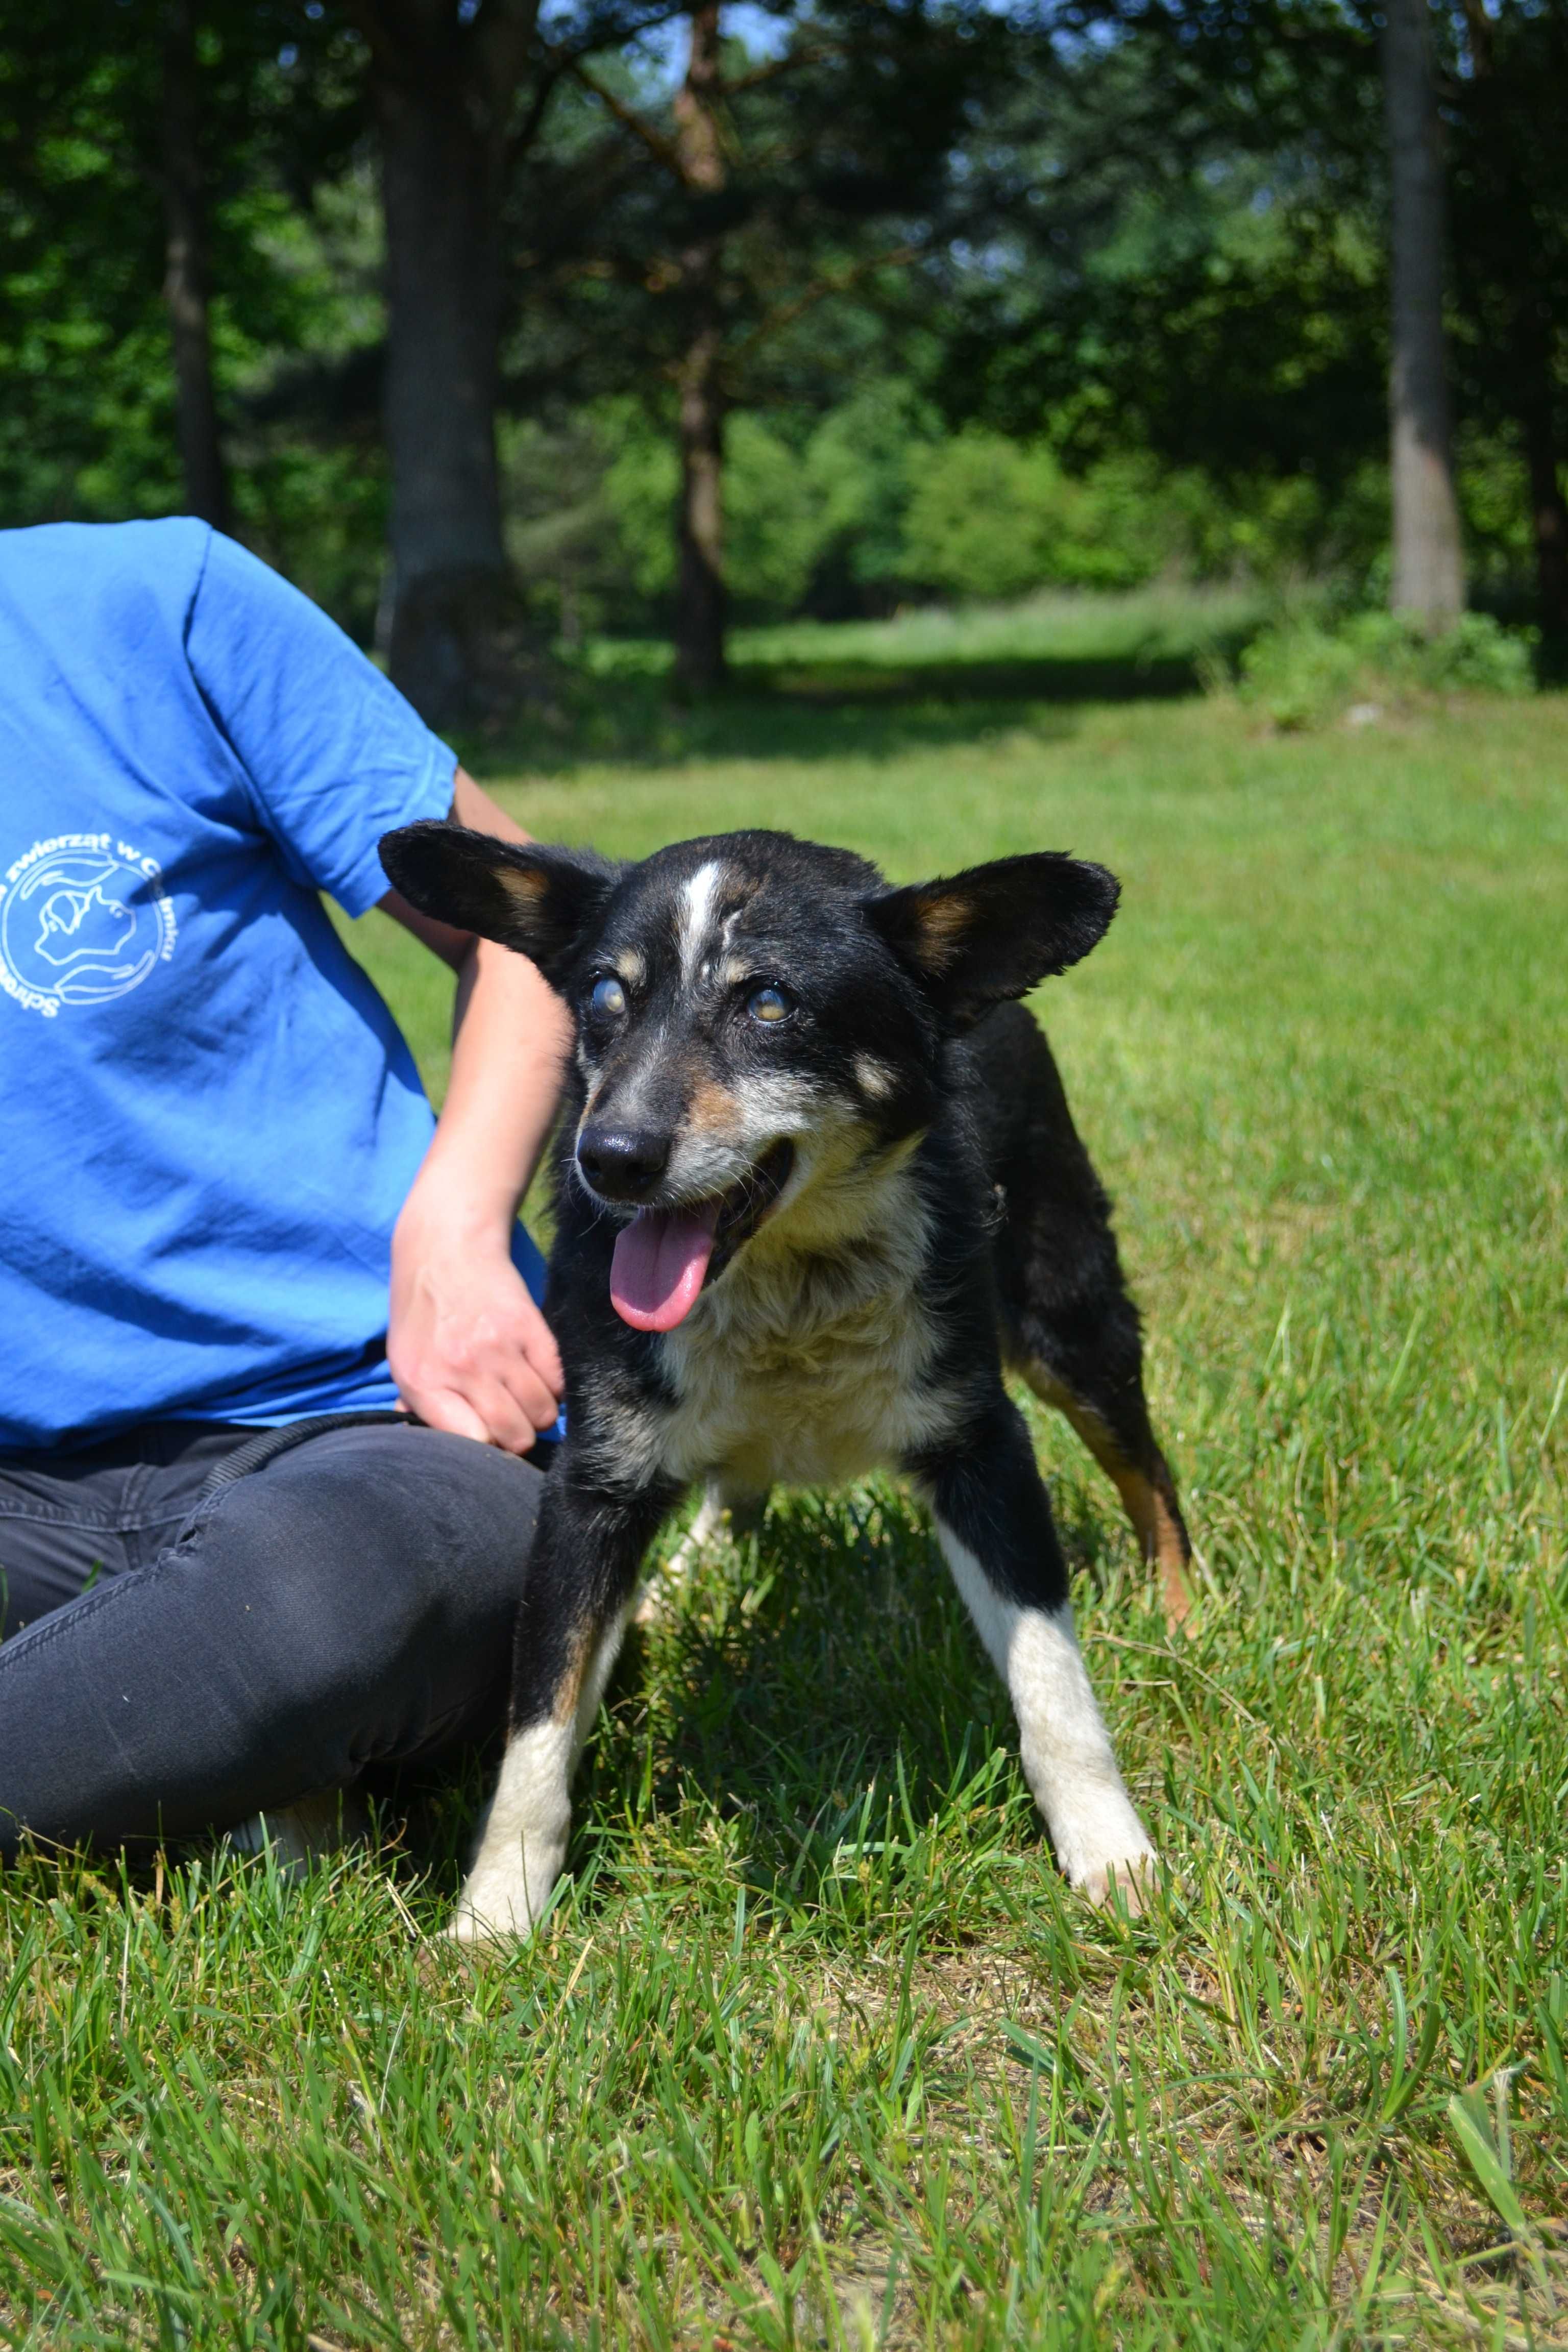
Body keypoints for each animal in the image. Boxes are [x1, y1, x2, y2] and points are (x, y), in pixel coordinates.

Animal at [376, 828, 1189, 1947]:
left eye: (768, 1003)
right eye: (604, 997)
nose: (610, 1157)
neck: (788, 1278)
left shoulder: (978, 1441)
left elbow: (1052, 1684)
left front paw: (1111, 1852)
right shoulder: (596, 1481)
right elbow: (538, 1722)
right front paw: (496, 1915)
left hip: (1067, 1312)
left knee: (1148, 1469)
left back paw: (1185, 1613)